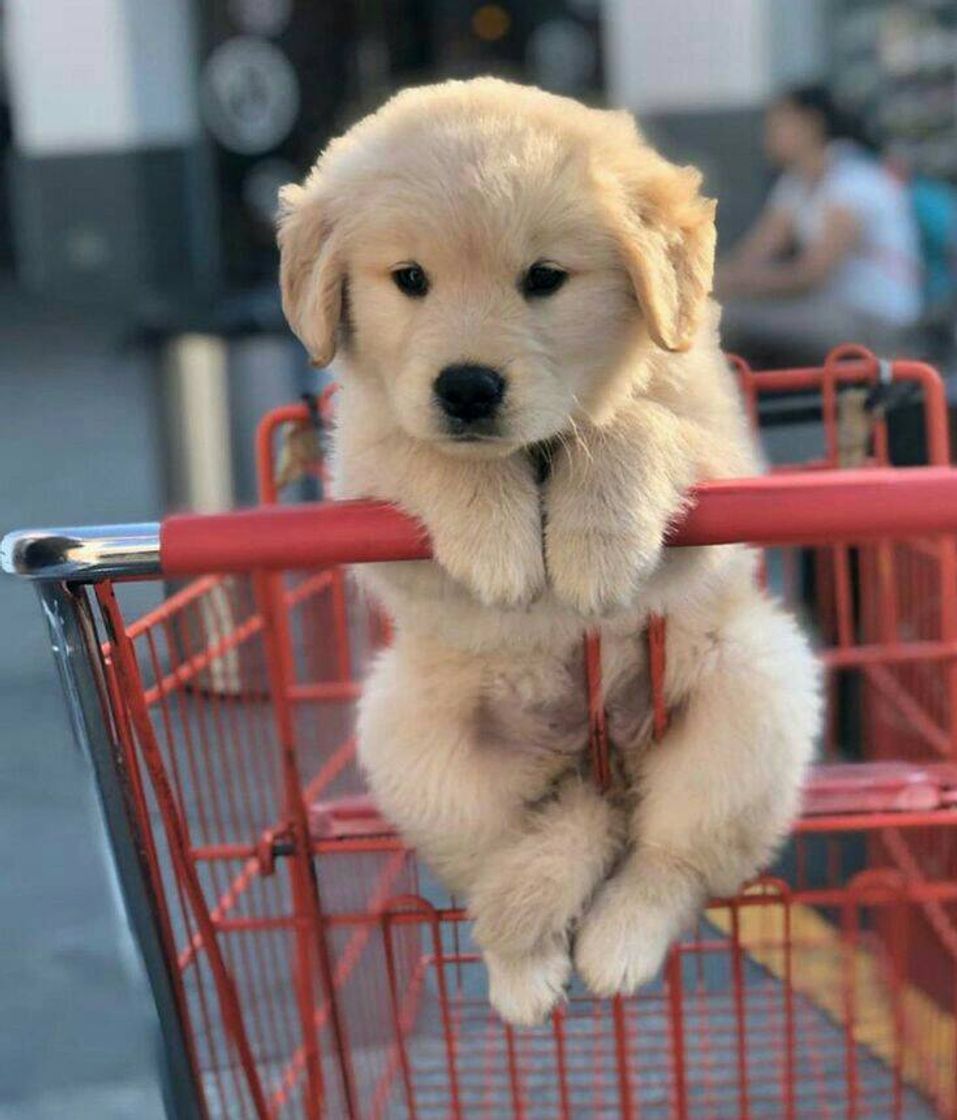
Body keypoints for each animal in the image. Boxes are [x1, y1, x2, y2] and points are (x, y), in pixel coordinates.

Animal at [279, 76, 824, 1025]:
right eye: (409, 280)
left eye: (544, 279)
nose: (466, 389)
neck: (532, 451)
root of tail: (596, 767)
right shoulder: (362, 475)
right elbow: (427, 453)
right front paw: (499, 541)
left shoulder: (723, 459)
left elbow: (631, 424)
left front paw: (593, 545)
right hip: (412, 741)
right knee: (499, 869)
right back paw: (523, 973)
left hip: (754, 694)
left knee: (671, 862)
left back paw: (617, 943)